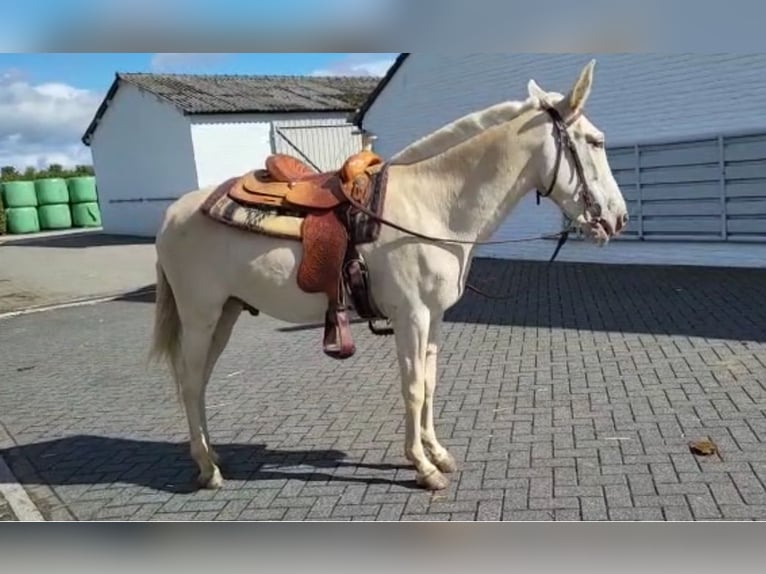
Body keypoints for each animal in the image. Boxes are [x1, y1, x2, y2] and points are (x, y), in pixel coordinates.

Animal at [150, 59, 632, 496]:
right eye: (595, 141)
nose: (618, 218)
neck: (433, 204)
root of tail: (171, 216)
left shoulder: (435, 317)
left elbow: (431, 382)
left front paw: (438, 453)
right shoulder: (411, 317)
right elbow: (413, 387)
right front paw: (423, 467)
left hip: (225, 315)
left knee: (199, 382)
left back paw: (212, 456)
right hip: (201, 315)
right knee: (190, 382)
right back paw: (208, 469)